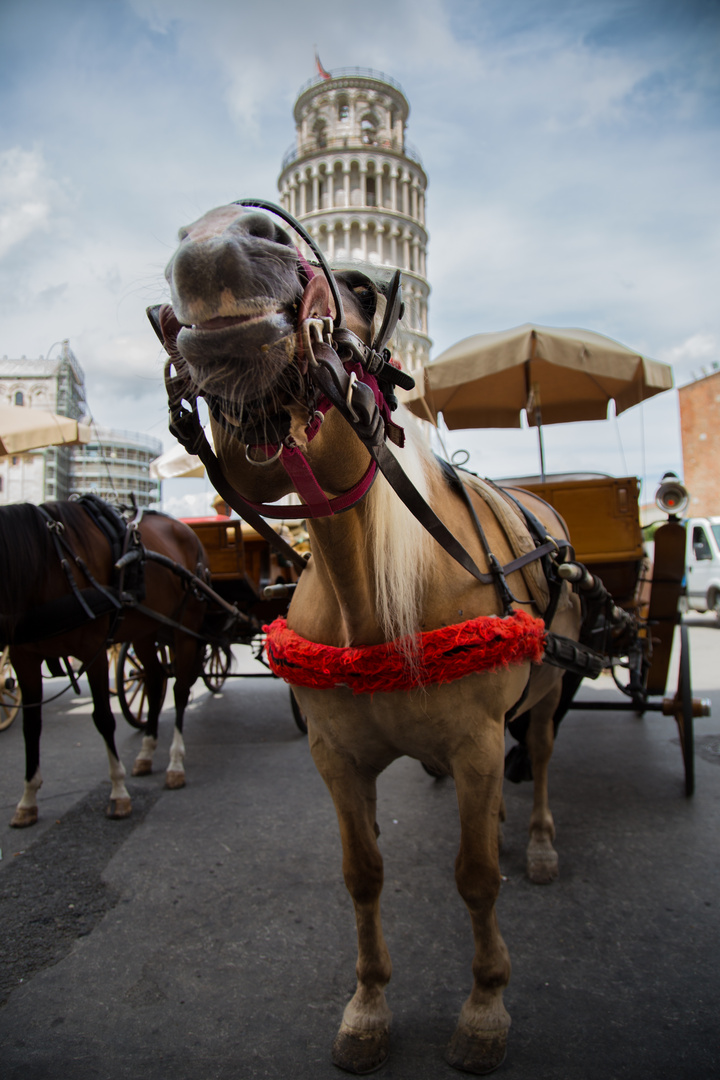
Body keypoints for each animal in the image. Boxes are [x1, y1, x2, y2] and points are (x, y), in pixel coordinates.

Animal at [0, 498, 208, 825]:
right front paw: (28, 799)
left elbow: (104, 718)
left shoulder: (93, 650)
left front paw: (119, 792)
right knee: (154, 680)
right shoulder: (24, 657)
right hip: (145, 629)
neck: (50, 561)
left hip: (186, 626)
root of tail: (188, 532)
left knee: (180, 691)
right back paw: (146, 753)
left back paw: (175, 763)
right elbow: (31, 726)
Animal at [157, 200, 587, 1071]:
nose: (218, 240)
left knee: (542, 758)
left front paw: (484, 1008)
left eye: (359, 287)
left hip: (551, 685)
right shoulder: (336, 756)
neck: (372, 600)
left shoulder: (477, 744)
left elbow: (476, 878)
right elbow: (363, 875)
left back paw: (539, 841)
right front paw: (368, 1006)